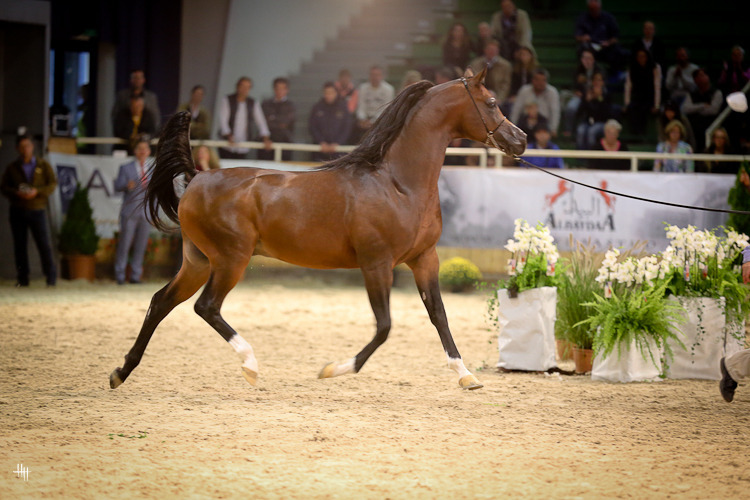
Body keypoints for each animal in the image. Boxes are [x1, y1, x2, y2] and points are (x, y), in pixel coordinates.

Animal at [109, 66, 526, 391]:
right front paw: (332, 370)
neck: (396, 182)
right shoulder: (377, 263)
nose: (520, 139)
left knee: (161, 302)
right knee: (206, 306)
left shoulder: (425, 259)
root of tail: (197, 177)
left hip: (198, 261)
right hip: (230, 259)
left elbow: (439, 315)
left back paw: (121, 372)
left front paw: (466, 375)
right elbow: (384, 327)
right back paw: (250, 366)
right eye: (492, 102)